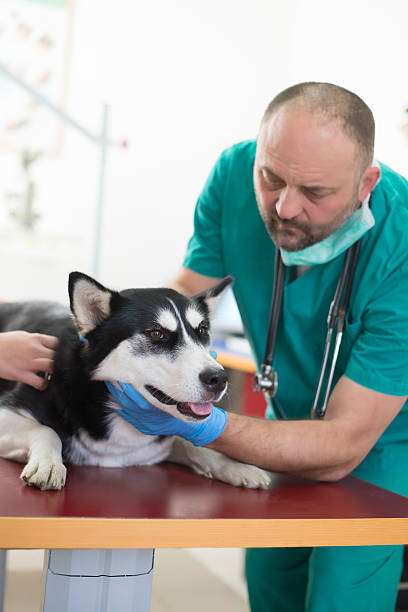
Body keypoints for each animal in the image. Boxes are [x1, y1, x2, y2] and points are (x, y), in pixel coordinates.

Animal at [0, 274, 270, 490]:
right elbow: (47, 431)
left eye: (202, 331)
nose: (219, 378)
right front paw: (49, 464)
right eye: (156, 334)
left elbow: (193, 444)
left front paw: (233, 466)